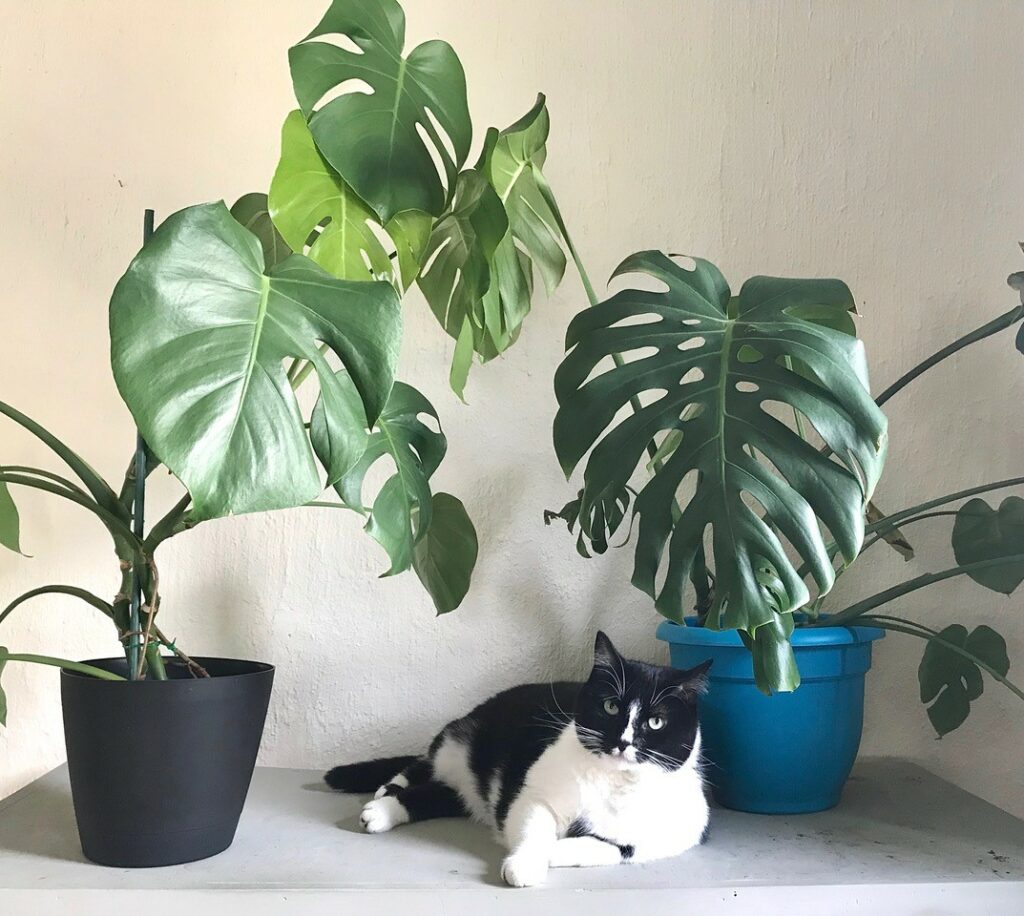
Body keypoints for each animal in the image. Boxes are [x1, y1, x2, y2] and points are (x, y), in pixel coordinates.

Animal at [323, 634, 708, 884]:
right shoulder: (531, 796)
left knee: (439, 794)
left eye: (656, 722)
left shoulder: (665, 836)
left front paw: (550, 853)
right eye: (611, 706)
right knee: (423, 763)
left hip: (465, 788)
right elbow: (535, 828)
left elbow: (602, 848)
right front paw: (524, 863)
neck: (610, 783)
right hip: (458, 742)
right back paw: (384, 797)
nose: (623, 742)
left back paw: (387, 809)